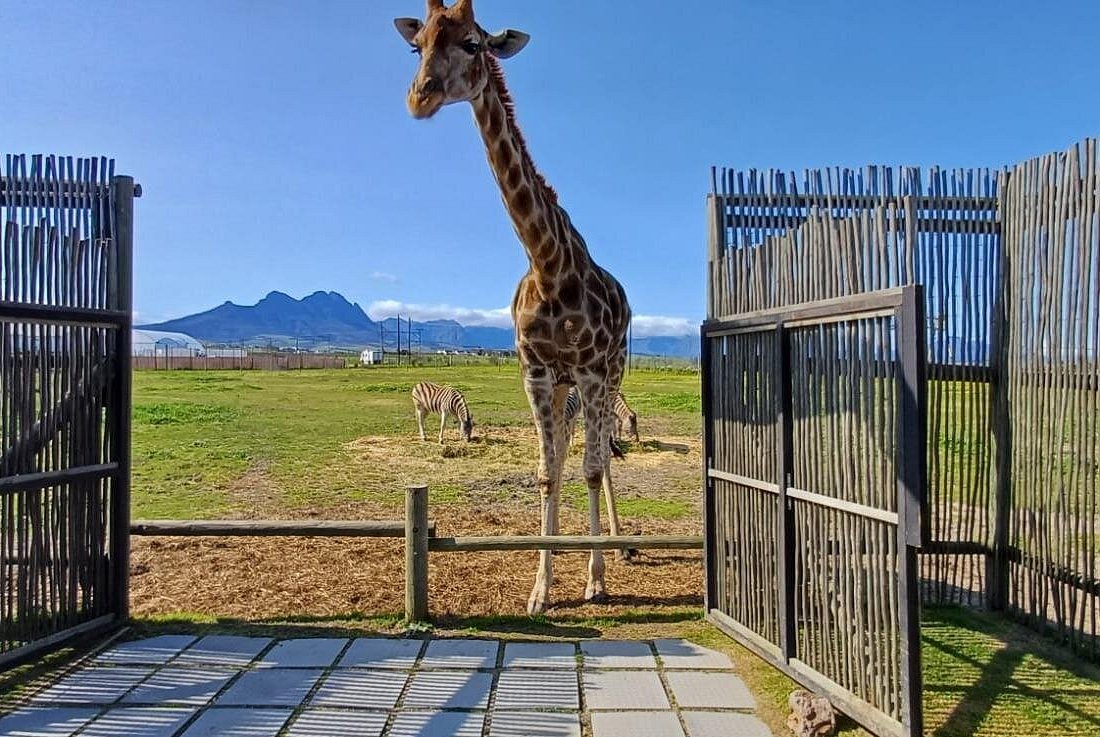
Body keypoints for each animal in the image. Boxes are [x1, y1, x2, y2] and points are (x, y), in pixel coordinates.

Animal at [394, 0, 633, 614]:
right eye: (417, 44)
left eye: (473, 43)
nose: (420, 96)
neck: (549, 265)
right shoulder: (537, 372)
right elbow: (548, 473)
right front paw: (540, 590)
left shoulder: (590, 371)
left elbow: (592, 469)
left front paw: (594, 580)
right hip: (568, 385)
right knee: (569, 453)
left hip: (611, 374)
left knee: (599, 457)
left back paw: (615, 551)